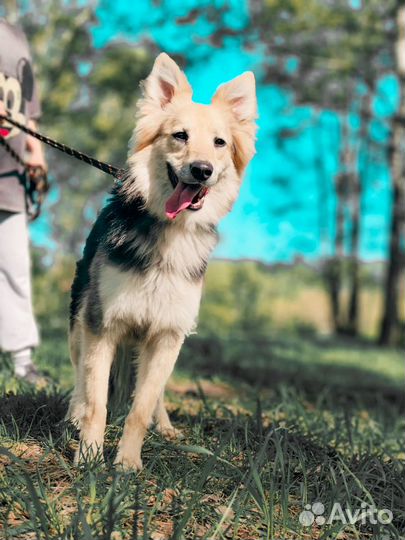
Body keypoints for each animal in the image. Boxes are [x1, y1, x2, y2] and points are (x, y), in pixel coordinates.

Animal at [66, 52, 256, 470]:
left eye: (220, 143)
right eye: (179, 135)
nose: (201, 170)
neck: (171, 231)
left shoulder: (168, 334)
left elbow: (140, 406)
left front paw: (127, 462)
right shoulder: (103, 324)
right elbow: (97, 399)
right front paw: (89, 455)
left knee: (154, 393)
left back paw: (165, 426)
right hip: (80, 319)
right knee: (80, 373)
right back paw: (73, 413)